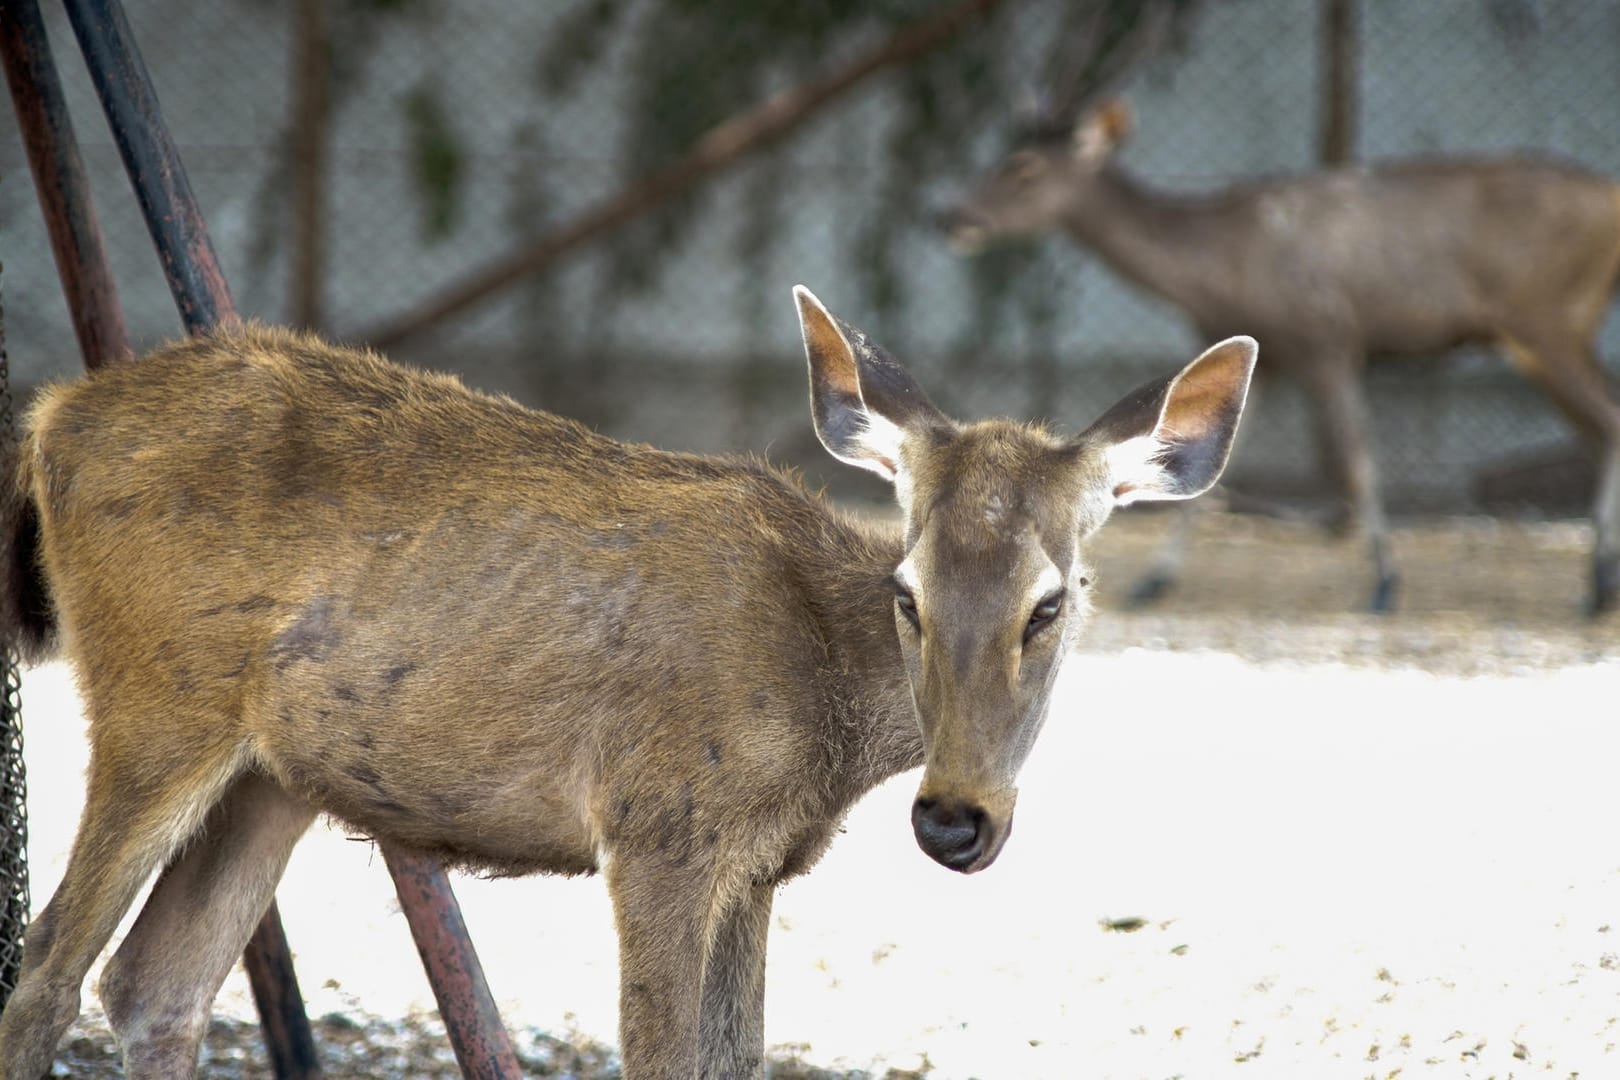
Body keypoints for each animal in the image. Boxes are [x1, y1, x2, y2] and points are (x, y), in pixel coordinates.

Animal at [0, 289, 1250, 1080]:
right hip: (154, 698)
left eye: (1054, 601)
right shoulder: (662, 822)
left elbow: (735, 1060)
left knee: (155, 984)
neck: (822, 729)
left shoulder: (756, 867)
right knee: (50, 961)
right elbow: (658, 1056)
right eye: (909, 590)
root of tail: (52, 415)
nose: (954, 819)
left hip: (274, 776)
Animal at [939, 97, 1620, 612]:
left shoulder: (1326, 338)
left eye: (1024, 167)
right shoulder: (1267, 355)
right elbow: (1207, 479)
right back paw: (1598, 580)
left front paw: (1384, 582)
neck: (1218, 270)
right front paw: (1155, 580)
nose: (953, 215)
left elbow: (1357, 459)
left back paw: (1595, 585)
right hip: (1553, 332)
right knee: (1599, 424)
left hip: (1548, 318)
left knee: (1607, 422)